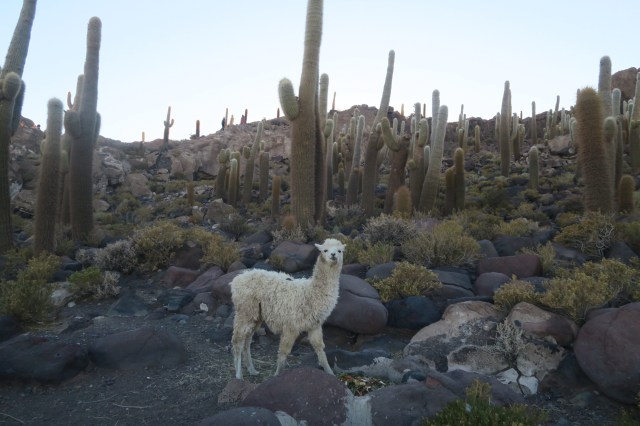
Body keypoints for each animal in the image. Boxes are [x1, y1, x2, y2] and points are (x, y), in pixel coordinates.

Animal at [230, 238, 345, 380]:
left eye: (339, 251)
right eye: (325, 250)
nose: (333, 255)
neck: (310, 293)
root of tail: (237, 279)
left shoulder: (314, 326)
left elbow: (320, 350)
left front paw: (330, 373)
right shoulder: (291, 326)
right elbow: (283, 353)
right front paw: (276, 375)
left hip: (256, 315)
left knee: (247, 340)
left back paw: (252, 370)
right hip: (245, 311)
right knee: (238, 341)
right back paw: (239, 375)